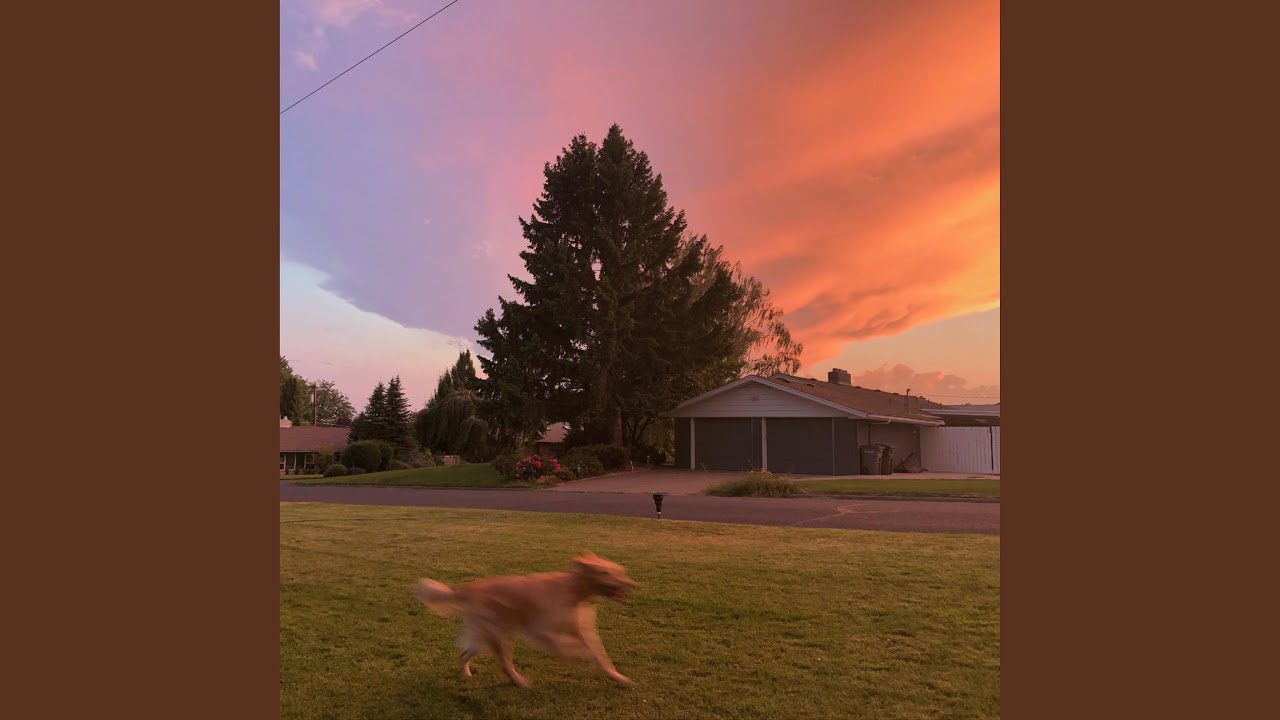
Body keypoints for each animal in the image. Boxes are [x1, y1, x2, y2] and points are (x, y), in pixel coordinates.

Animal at [413, 551, 637, 688]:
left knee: (463, 655)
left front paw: (618, 677)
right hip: (497, 637)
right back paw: (519, 682)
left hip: (482, 638)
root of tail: (464, 590)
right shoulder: (541, 632)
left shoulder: (584, 632)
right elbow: (571, 648)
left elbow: (600, 655)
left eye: (619, 571)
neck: (572, 592)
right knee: (505, 666)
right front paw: (578, 654)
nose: (632, 584)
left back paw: (467, 674)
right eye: (605, 572)